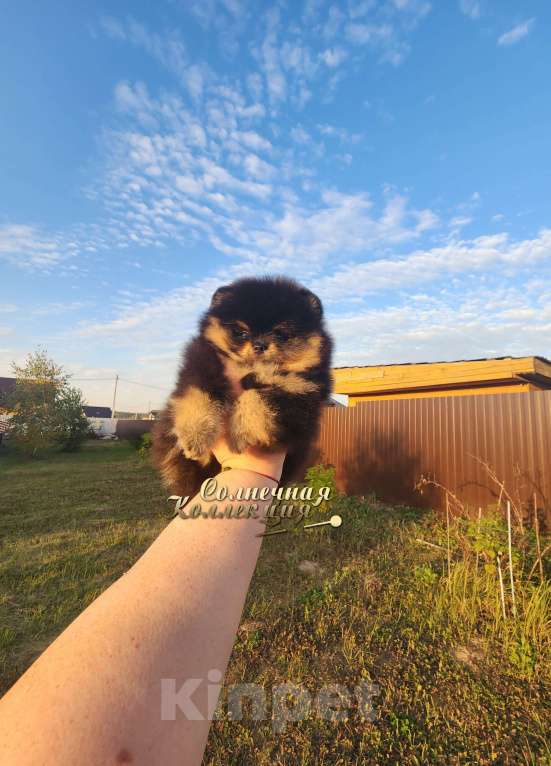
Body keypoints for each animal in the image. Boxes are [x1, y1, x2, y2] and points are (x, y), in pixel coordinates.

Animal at [150, 276, 332, 498]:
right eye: (241, 332)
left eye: (281, 334)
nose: (260, 344)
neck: (252, 368)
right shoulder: (203, 363)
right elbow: (200, 394)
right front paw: (195, 437)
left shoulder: (300, 391)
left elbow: (258, 398)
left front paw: (240, 431)